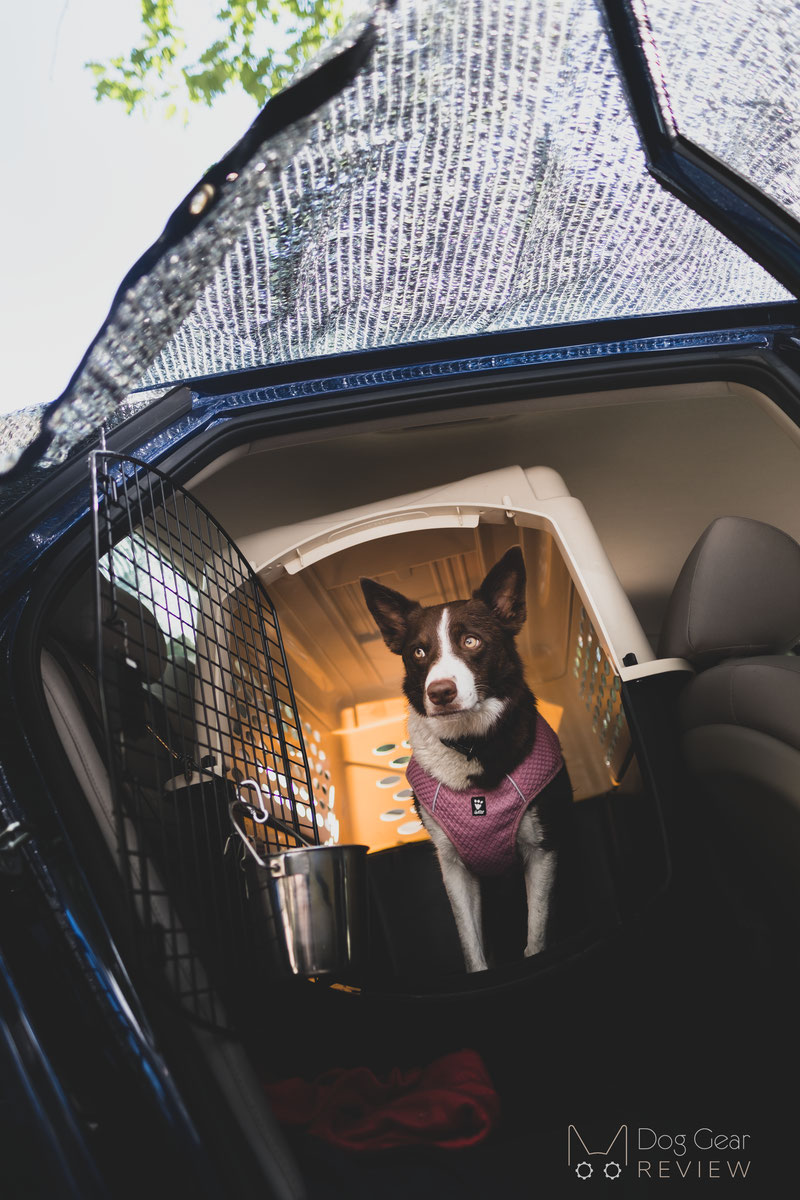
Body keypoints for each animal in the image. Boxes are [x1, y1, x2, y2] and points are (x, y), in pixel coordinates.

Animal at [359, 549, 573, 969]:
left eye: (471, 641)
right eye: (419, 652)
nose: (440, 692)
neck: (471, 747)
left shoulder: (543, 853)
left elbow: (536, 937)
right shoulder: (454, 867)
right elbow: (472, 948)